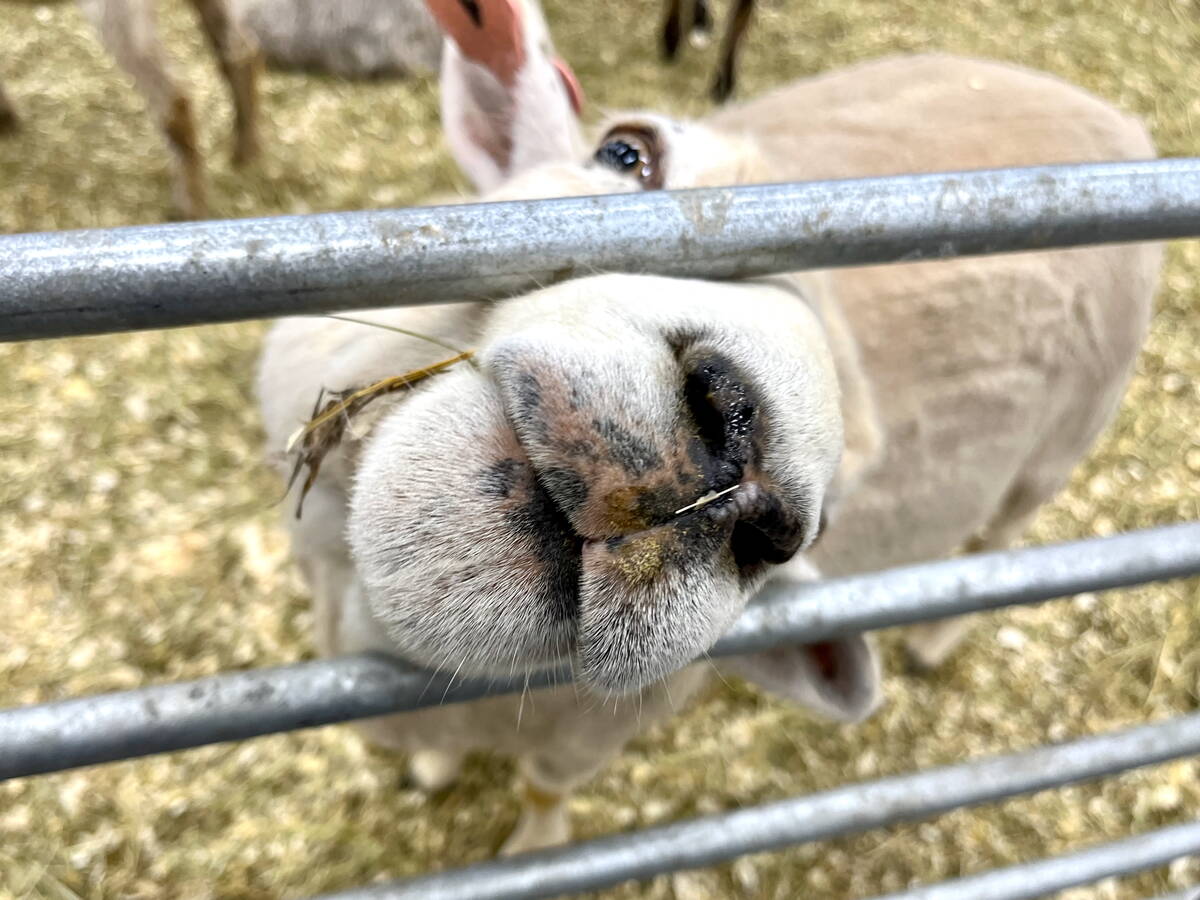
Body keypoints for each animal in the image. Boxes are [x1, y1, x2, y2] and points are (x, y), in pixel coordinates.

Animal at [0, 0, 260, 219]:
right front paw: (6, 116)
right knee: (240, 49)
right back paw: (244, 152)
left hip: (117, 11)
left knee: (174, 97)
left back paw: (189, 209)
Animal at [255, 0, 1161, 855]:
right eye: (625, 154)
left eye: (828, 518)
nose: (738, 469)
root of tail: (1113, 114)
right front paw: (434, 768)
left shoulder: (586, 740)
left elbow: (544, 792)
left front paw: (531, 847)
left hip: (1059, 448)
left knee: (1002, 541)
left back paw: (936, 639)